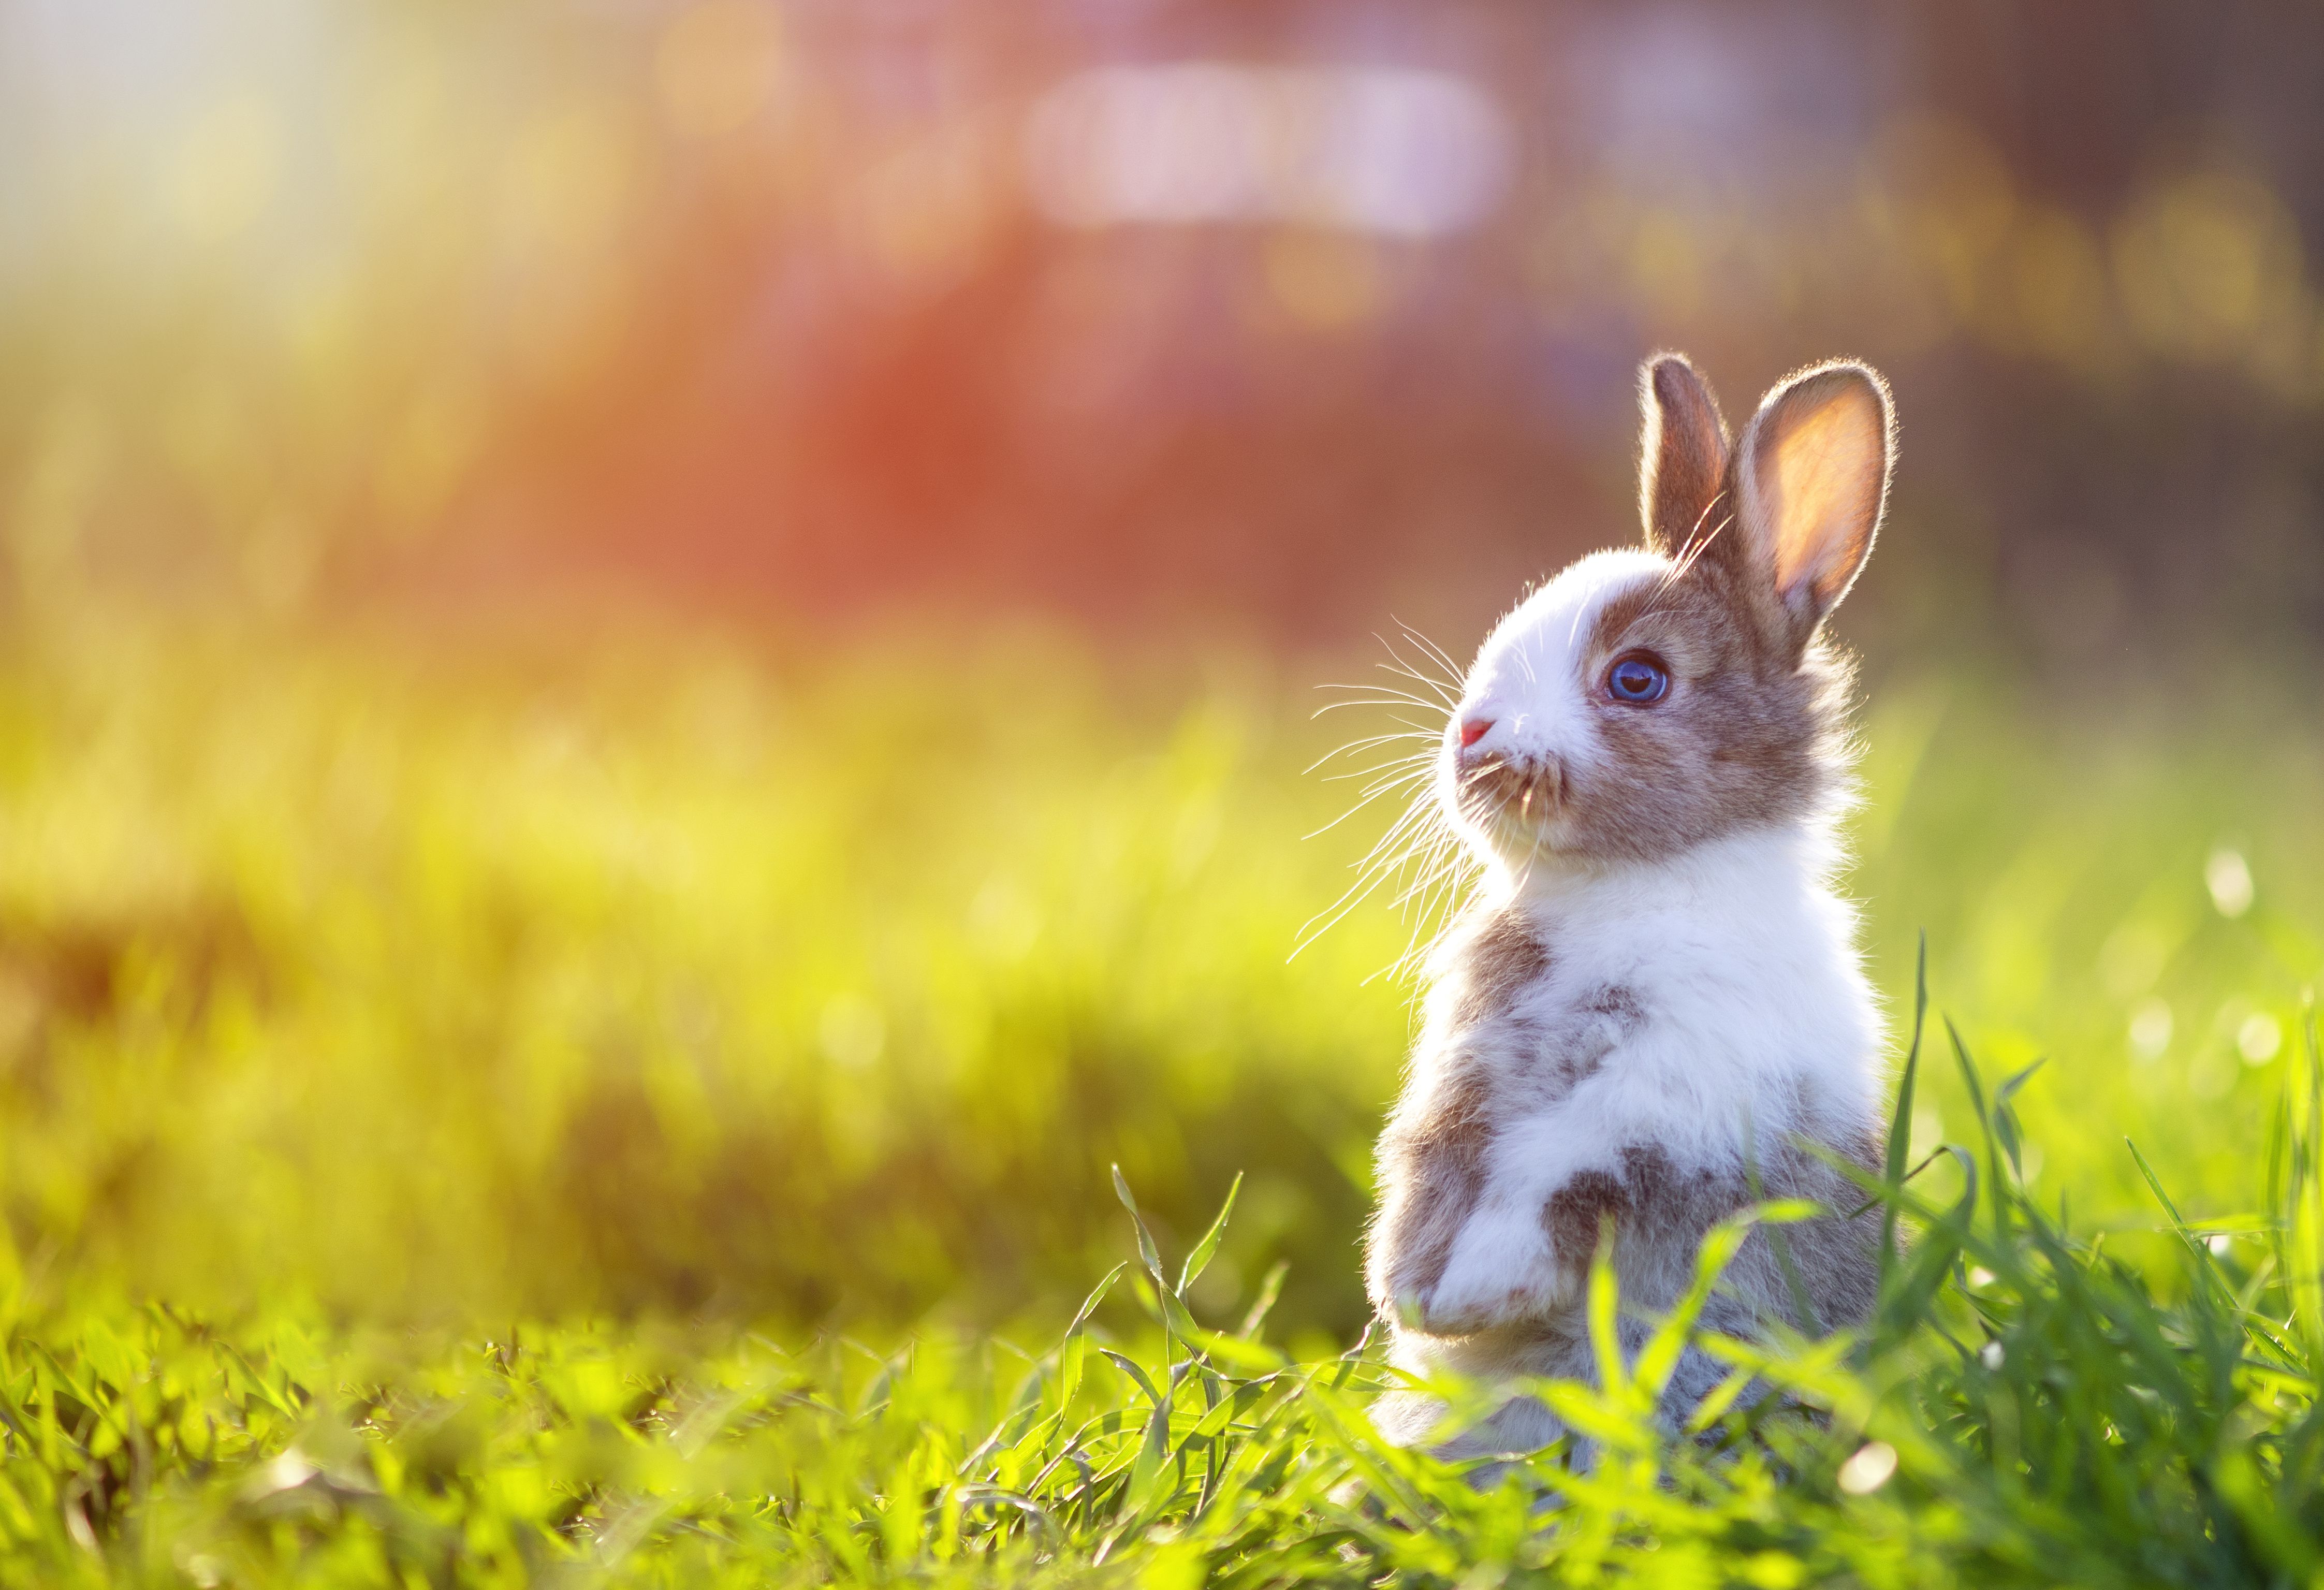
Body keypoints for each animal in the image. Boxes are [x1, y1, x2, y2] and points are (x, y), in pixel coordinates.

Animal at [1361, 354, 1896, 1461]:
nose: (1469, 734)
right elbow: (1426, 1158)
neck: (1629, 884)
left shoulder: (1669, 1101)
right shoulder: (1458, 1075)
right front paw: (1407, 1294)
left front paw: (1469, 1296)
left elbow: (1560, 1175)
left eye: (1637, 679)